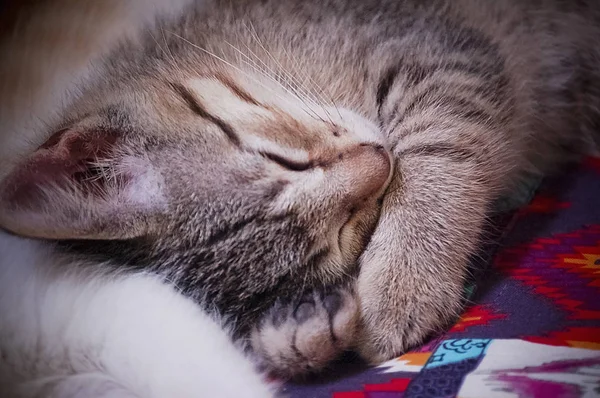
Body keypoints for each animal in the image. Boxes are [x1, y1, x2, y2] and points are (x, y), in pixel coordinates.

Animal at [1, 0, 600, 394]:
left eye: (283, 161)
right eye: (343, 232)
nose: (379, 164)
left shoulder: (444, 52)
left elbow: (440, 147)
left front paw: (403, 284)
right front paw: (295, 333)